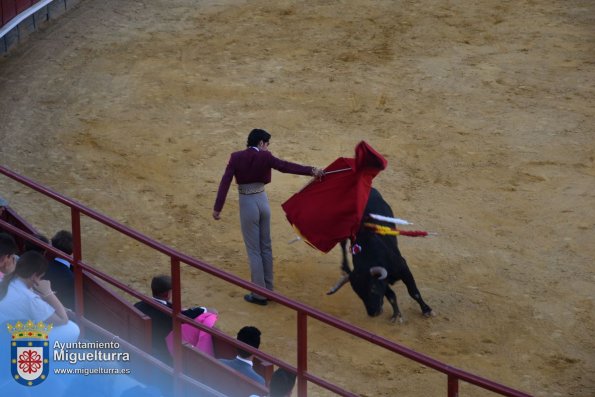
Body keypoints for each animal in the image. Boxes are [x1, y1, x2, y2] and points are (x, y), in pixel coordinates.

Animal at [328, 186, 436, 322]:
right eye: (358, 293)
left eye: (373, 289)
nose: (373, 313)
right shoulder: (384, 280)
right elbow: (391, 295)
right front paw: (396, 315)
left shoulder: (403, 268)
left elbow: (413, 292)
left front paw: (426, 310)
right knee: (342, 244)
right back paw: (345, 267)